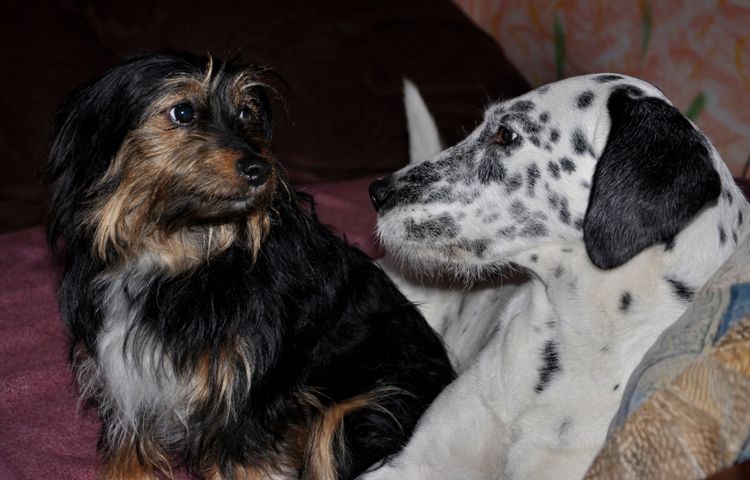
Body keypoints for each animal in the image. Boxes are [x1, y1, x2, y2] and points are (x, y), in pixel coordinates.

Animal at [45, 52, 455, 480]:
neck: (178, 254)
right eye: (183, 112)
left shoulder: (243, 404)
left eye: (246, 113)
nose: (261, 169)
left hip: (359, 413)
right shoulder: (129, 390)